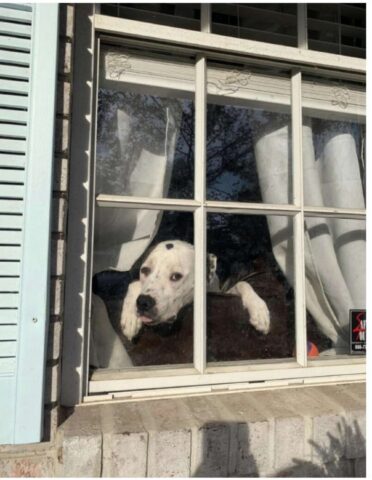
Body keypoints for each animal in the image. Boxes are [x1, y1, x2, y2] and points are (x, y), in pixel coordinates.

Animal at [121, 240, 270, 342]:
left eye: (176, 276)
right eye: (145, 270)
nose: (143, 303)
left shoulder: (219, 290)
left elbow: (244, 283)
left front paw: (259, 310)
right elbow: (133, 285)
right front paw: (130, 317)